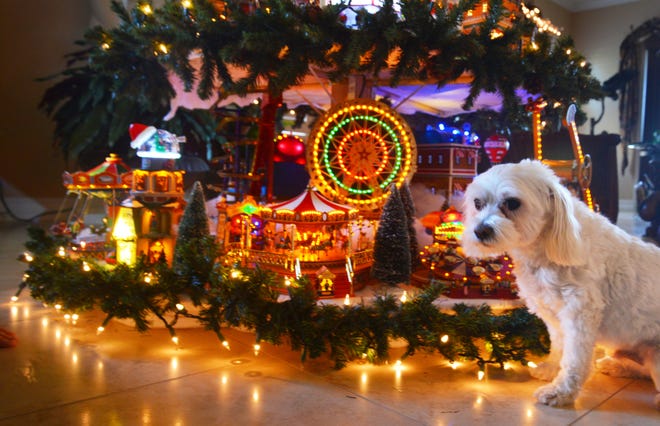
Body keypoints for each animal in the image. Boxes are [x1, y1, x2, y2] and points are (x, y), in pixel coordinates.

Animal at [458, 159, 660, 406]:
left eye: (513, 203)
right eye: (477, 203)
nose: (480, 230)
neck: (548, 246)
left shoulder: (580, 314)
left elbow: (574, 359)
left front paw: (561, 392)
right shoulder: (553, 314)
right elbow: (559, 346)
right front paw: (552, 369)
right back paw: (616, 365)